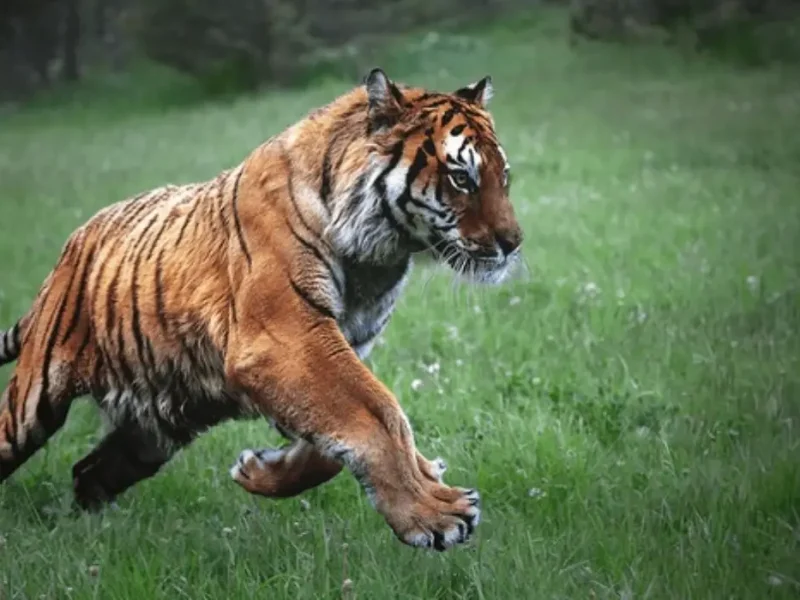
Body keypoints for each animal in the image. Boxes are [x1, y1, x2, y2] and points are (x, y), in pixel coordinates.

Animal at [0, 68, 522, 551]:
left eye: (504, 177)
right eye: (462, 178)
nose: (514, 243)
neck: (377, 255)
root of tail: (69, 251)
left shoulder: (338, 346)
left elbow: (338, 436)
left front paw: (260, 471)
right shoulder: (285, 339)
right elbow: (378, 413)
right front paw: (435, 515)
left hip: (153, 429)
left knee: (88, 472)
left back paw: (97, 535)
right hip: (35, 402)